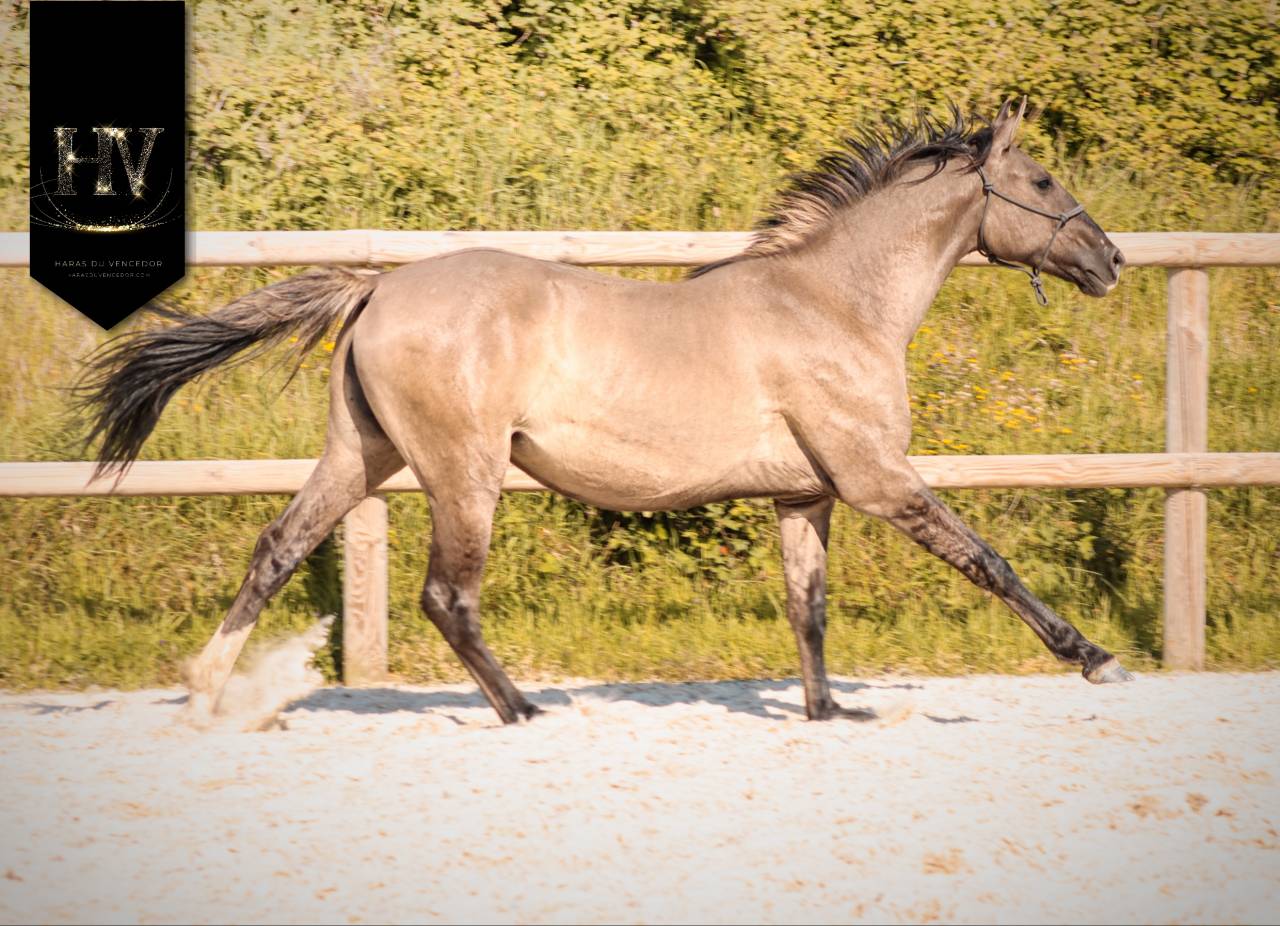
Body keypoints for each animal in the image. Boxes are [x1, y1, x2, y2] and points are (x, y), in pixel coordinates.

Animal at [77, 99, 1131, 724]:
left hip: (361, 454)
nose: (1110, 259)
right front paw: (1095, 658)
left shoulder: (807, 496)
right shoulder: (877, 480)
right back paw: (526, 712)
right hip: (463, 472)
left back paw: (206, 693)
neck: (834, 302)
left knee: (278, 549)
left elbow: (809, 608)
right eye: (1042, 181)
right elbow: (988, 560)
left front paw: (829, 713)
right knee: (447, 597)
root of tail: (378, 287)